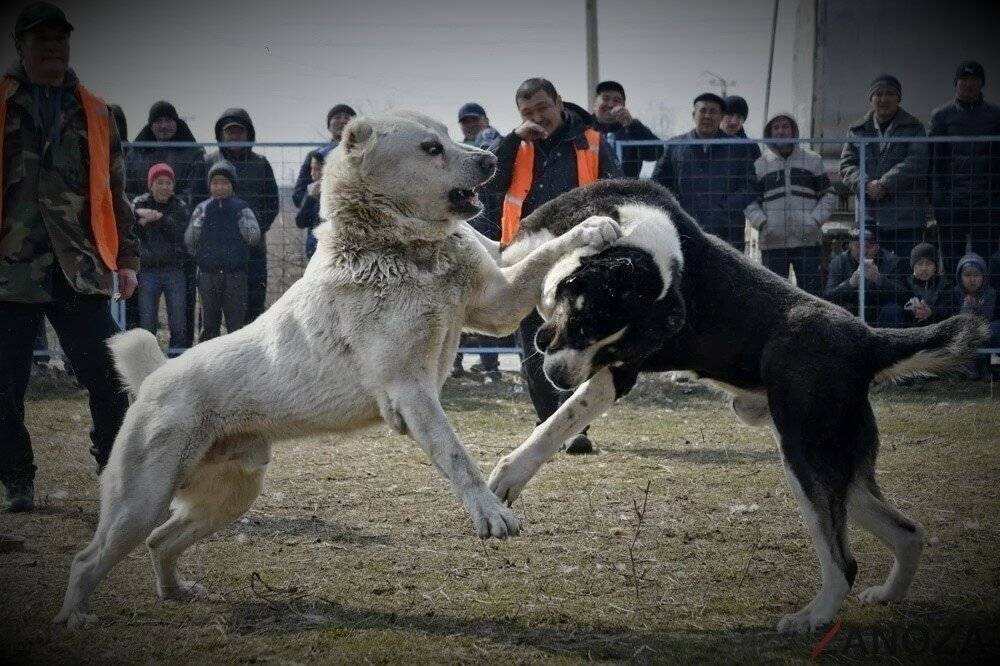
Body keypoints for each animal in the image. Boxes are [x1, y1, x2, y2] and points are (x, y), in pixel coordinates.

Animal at [54, 111, 620, 624]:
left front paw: (592, 226)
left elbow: (541, 256)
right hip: (142, 498)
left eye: (449, 136)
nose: (489, 159)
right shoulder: (410, 390)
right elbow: (457, 457)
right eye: (431, 148)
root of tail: (154, 378)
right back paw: (76, 616)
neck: (400, 249)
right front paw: (490, 513)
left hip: (229, 495)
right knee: (90, 556)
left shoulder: (496, 305)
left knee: (160, 540)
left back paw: (174, 592)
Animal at [488, 179, 988, 632]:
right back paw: (888, 594)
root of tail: (866, 338)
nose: (560, 378)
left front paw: (510, 476)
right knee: (909, 533)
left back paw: (812, 617)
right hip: (838, 467)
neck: (636, 234)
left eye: (605, 344)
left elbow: (557, 424)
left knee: (843, 561)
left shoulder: (618, 372)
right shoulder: (520, 256)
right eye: (582, 323)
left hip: (808, 458)